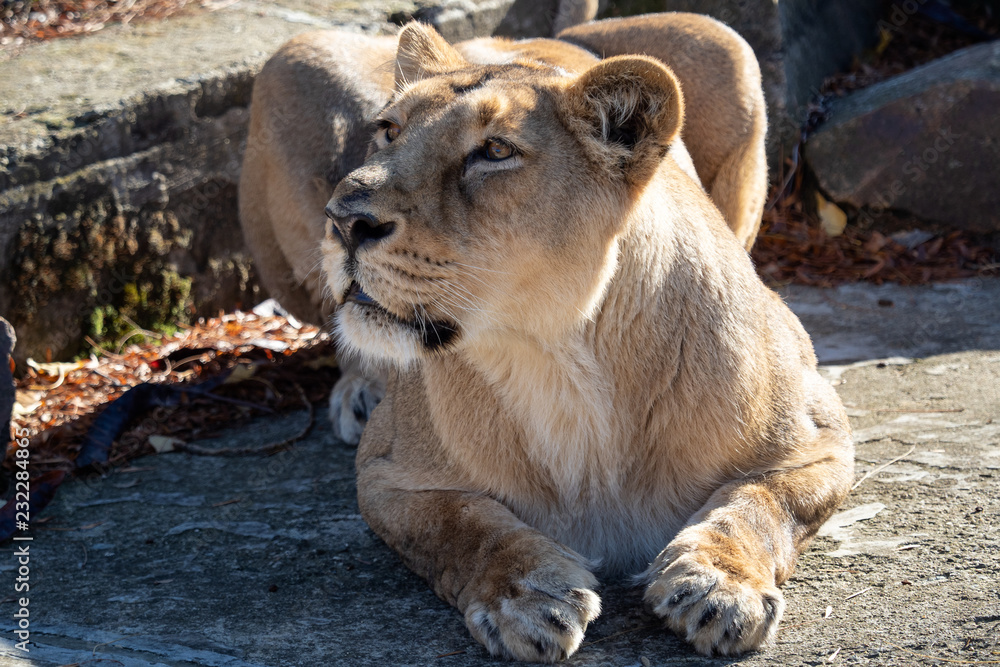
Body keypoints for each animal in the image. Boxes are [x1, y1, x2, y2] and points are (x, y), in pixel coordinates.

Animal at [241, 15, 851, 662]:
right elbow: (462, 523)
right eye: (387, 131)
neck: (559, 360)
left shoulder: (821, 435)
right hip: (294, 60)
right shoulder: (386, 474)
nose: (343, 219)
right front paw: (528, 595)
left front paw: (717, 584)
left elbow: (757, 503)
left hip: (729, 49)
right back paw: (360, 388)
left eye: (495, 151)